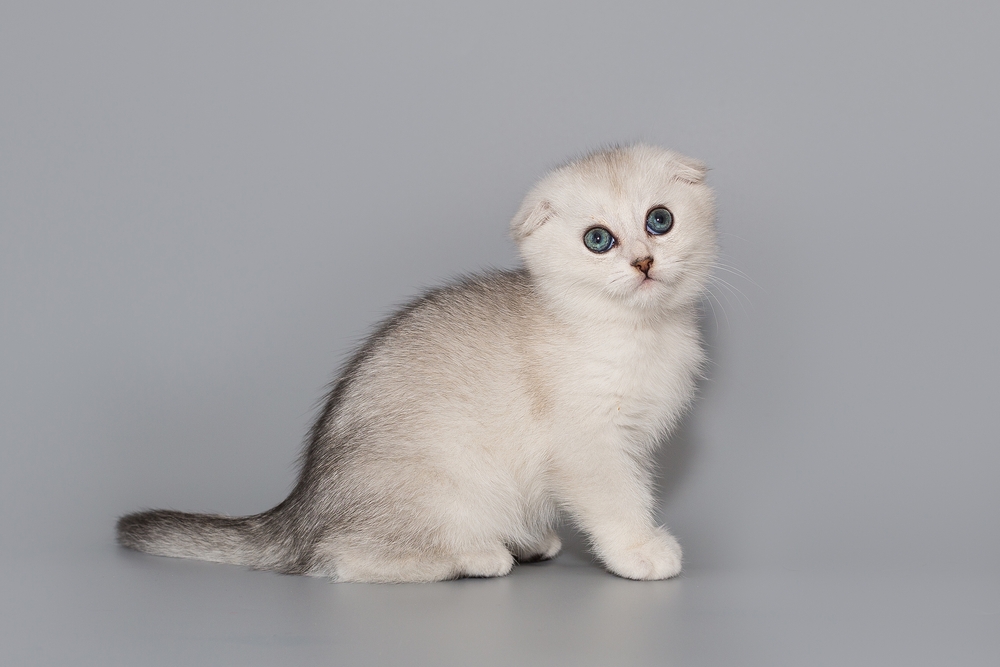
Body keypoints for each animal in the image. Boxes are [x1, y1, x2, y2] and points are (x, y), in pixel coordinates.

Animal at [117, 144, 720, 580]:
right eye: (598, 239)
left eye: (659, 220)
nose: (643, 262)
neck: (635, 333)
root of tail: (300, 510)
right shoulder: (588, 446)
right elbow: (618, 502)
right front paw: (641, 551)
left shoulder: (632, 442)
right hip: (439, 488)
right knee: (338, 559)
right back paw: (479, 555)